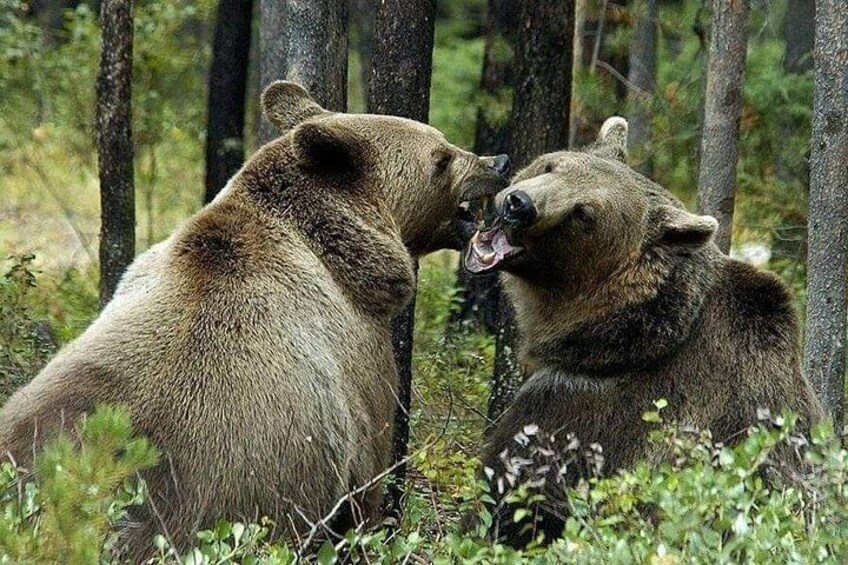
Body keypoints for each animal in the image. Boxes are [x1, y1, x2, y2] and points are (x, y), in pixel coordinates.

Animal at [0, 81, 509, 559]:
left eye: (444, 143)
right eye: (441, 156)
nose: (498, 161)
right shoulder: (361, 366)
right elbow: (368, 477)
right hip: (213, 493)